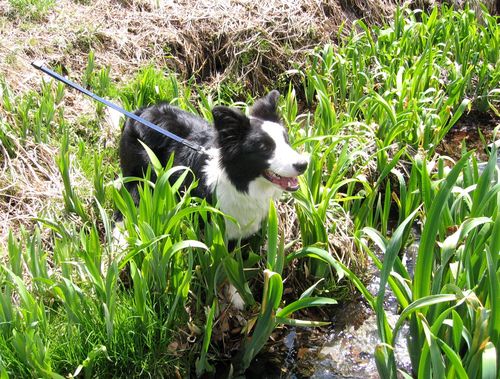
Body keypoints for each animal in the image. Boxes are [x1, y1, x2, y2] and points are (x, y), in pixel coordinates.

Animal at [119, 90, 308, 240]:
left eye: (286, 140)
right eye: (264, 147)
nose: (304, 165)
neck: (240, 184)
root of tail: (140, 111)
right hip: (138, 180)